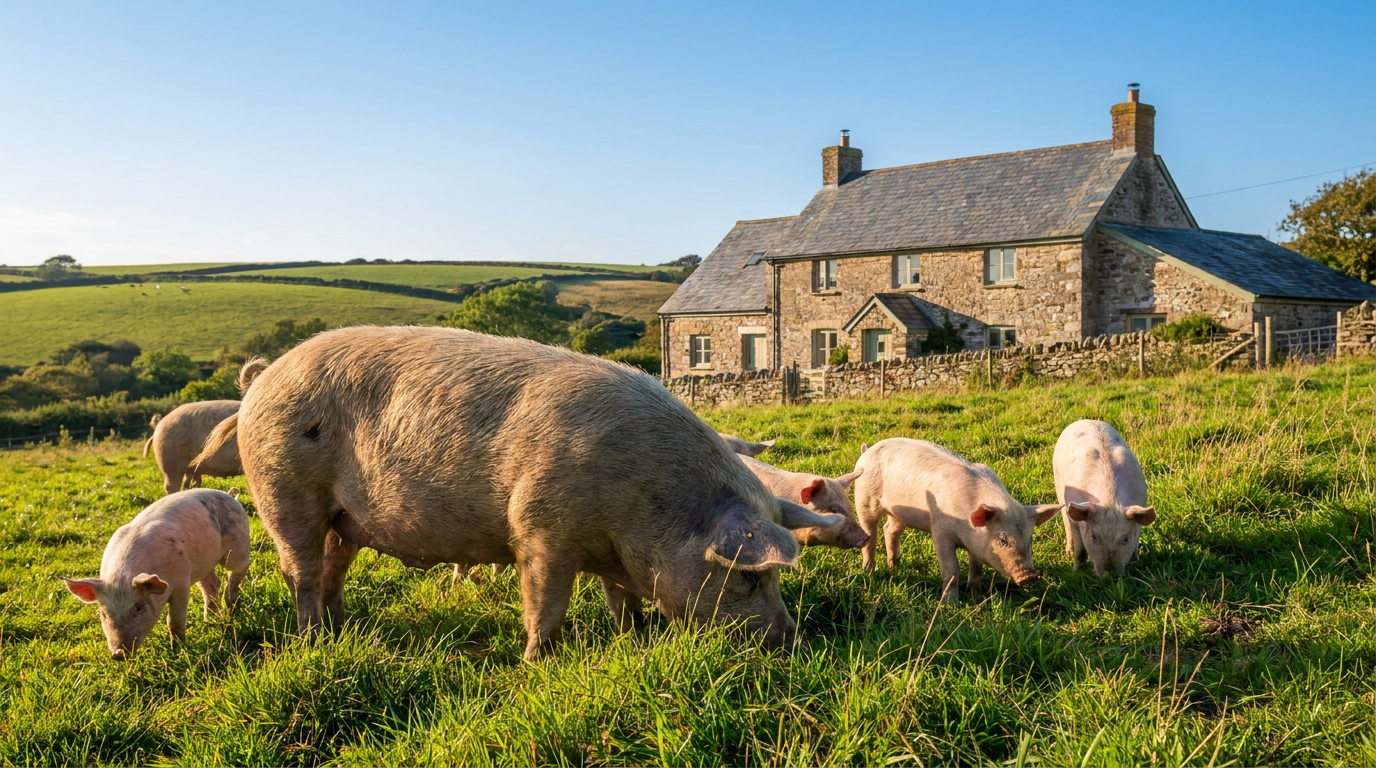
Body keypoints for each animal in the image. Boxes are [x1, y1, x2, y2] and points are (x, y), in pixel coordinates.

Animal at [62, 488, 251, 659]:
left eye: (138, 608)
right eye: (103, 613)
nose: (118, 654)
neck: (122, 576)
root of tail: (229, 495)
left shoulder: (181, 583)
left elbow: (173, 621)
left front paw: (178, 652)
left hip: (237, 546)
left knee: (238, 570)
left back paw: (231, 608)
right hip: (203, 564)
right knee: (212, 585)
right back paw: (209, 621)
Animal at [193, 326, 853, 658]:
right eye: (746, 577)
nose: (791, 640)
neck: (646, 507)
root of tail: (261, 381)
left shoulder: (618, 551)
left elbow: (622, 599)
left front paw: (633, 637)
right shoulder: (539, 530)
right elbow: (545, 604)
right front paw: (538, 662)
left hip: (344, 518)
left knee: (333, 568)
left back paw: (340, 629)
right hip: (284, 491)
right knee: (299, 571)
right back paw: (312, 638)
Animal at [853, 438, 1061, 602]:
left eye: (1029, 540)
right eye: (1003, 540)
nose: (1030, 576)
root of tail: (867, 450)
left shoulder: (975, 543)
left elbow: (976, 568)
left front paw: (975, 595)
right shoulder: (940, 530)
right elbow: (951, 569)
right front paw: (950, 604)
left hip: (900, 513)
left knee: (890, 529)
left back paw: (894, 566)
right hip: (864, 499)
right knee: (870, 535)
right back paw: (868, 571)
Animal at [1053, 419, 1156, 576]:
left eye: (1125, 539)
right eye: (1093, 537)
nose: (1109, 574)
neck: (1110, 500)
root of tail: (1086, 420)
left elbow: (1136, 544)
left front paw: (1136, 563)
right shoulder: (1076, 520)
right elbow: (1081, 551)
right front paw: (1077, 571)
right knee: (1066, 522)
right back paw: (1068, 553)